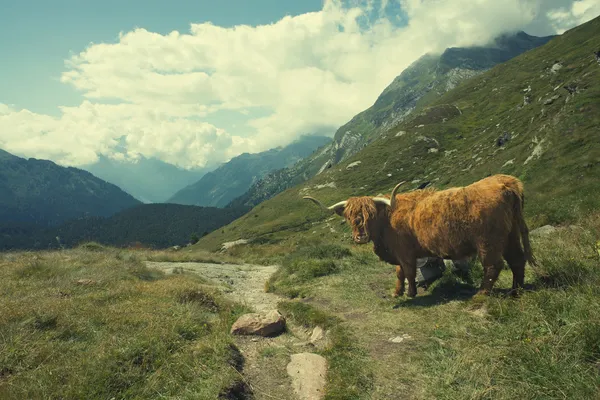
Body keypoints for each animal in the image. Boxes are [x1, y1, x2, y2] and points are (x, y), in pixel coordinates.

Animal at [304, 174, 536, 296]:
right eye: (350, 216)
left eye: (371, 215)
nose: (360, 237)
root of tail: (506, 182)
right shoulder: (399, 253)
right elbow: (399, 273)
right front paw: (396, 292)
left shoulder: (405, 252)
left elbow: (407, 272)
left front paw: (410, 293)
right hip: (511, 235)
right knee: (517, 260)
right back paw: (516, 291)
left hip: (489, 241)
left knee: (494, 265)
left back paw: (480, 295)